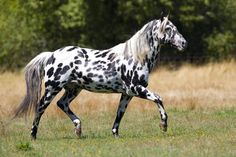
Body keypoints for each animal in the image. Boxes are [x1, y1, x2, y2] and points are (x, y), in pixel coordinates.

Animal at [14, 15, 188, 139]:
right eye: (168, 29)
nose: (184, 43)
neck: (136, 57)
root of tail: (51, 55)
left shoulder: (127, 93)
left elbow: (120, 112)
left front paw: (115, 134)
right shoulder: (135, 88)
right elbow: (158, 98)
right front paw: (163, 125)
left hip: (73, 89)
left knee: (62, 104)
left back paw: (78, 129)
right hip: (53, 88)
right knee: (40, 107)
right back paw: (33, 135)